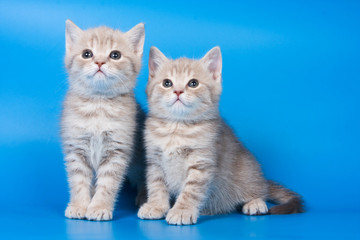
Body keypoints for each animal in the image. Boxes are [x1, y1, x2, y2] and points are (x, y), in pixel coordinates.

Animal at [61, 19, 146, 220]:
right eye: (87, 54)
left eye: (115, 55)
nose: (99, 62)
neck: (98, 106)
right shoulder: (76, 148)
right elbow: (79, 181)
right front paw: (79, 205)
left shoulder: (117, 150)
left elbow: (108, 183)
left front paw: (99, 206)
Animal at [138, 46, 304, 225]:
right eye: (167, 83)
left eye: (193, 83)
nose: (178, 91)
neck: (177, 127)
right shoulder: (155, 161)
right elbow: (156, 185)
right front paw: (156, 206)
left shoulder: (201, 162)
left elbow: (191, 190)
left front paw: (182, 211)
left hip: (246, 170)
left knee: (259, 191)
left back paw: (255, 203)